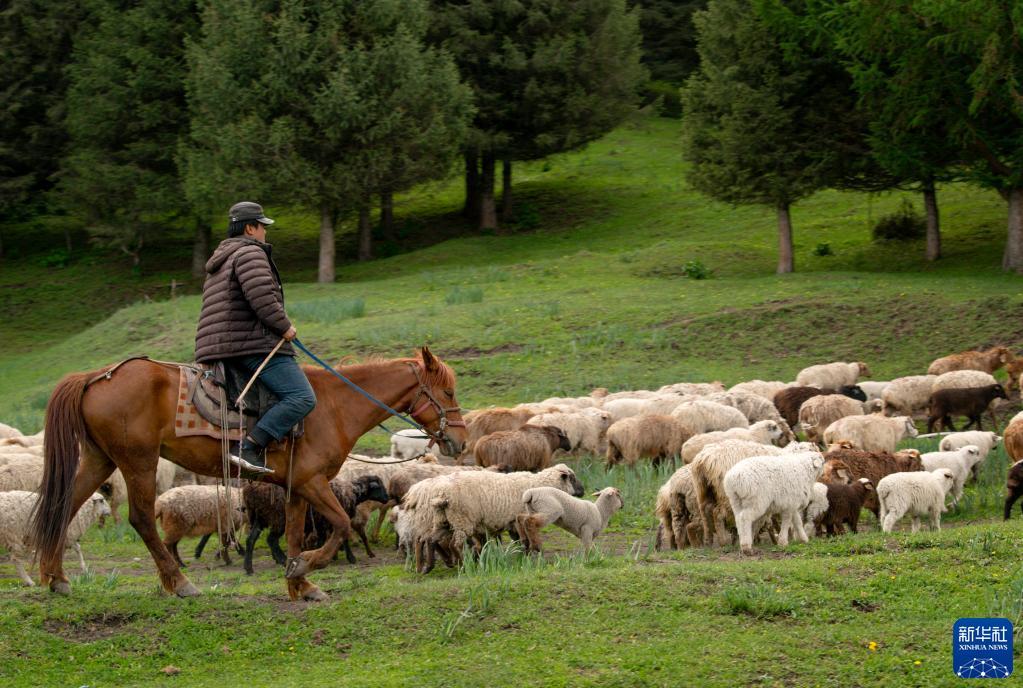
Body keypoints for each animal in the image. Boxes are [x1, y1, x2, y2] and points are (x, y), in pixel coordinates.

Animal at [28, 345, 468, 597]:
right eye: (447, 391)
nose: (459, 441)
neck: (334, 405)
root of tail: (96, 376)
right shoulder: (313, 482)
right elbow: (341, 525)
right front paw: (306, 567)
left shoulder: (296, 486)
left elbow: (294, 534)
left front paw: (299, 583)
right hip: (138, 461)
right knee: (141, 519)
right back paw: (179, 583)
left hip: (100, 459)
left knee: (65, 506)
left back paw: (56, 577)